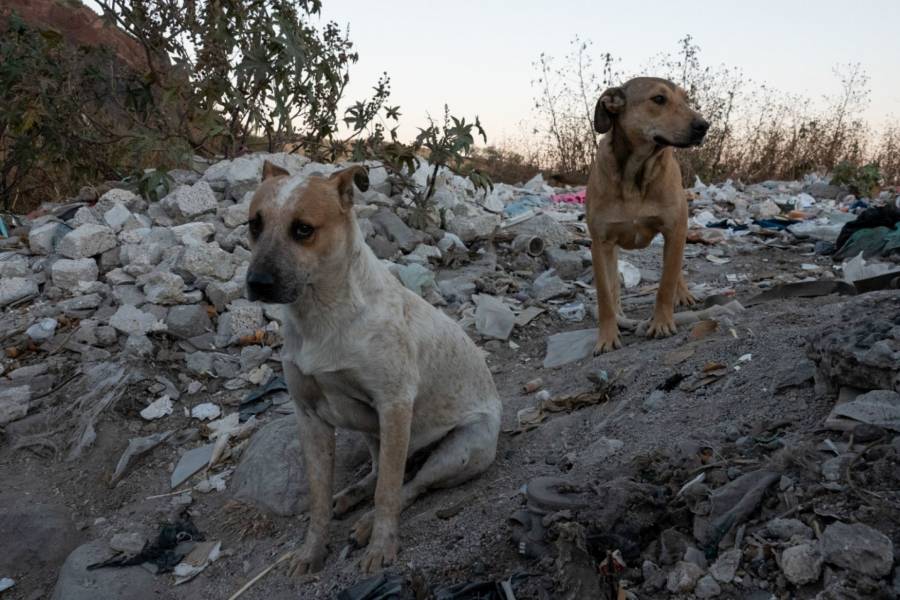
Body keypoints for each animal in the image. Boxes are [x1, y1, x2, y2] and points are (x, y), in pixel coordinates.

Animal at [243, 162, 502, 576]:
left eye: (303, 229)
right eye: (255, 224)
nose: (257, 283)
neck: (322, 316)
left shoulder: (394, 405)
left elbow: (389, 495)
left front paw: (381, 546)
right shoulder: (309, 417)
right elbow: (319, 499)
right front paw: (311, 552)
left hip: (460, 450)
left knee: (411, 484)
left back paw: (366, 523)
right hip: (373, 433)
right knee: (381, 472)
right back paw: (350, 496)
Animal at [584, 77, 712, 354]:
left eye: (686, 99)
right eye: (659, 99)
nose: (703, 126)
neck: (635, 172)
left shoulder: (674, 230)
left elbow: (666, 283)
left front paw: (662, 323)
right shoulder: (600, 243)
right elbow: (605, 296)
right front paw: (607, 336)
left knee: (675, 269)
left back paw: (682, 294)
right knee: (614, 283)